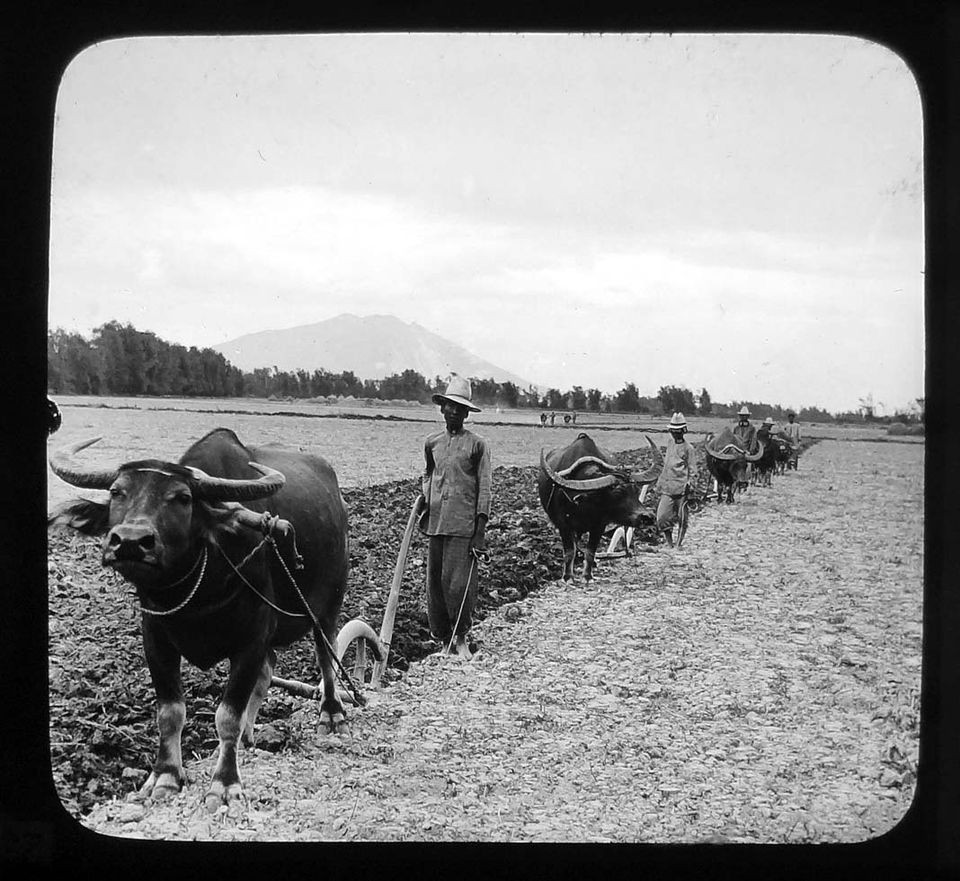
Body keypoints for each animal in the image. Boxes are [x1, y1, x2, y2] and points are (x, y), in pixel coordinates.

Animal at [47, 428, 378, 812]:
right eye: (117, 491)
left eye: (183, 498)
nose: (130, 541)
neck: (197, 586)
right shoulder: (156, 639)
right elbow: (170, 712)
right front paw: (165, 776)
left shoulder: (251, 640)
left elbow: (227, 715)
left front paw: (224, 784)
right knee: (268, 671)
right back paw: (250, 736)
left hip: (328, 606)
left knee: (326, 657)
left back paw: (332, 714)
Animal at [536, 432, 664, 580]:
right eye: (617, 493)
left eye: (636, 490)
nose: (648, 517)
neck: (584, 504)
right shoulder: (563, 525)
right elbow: (569, 552)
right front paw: (568, 577)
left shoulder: (599, 526)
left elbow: (590, 552)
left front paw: (588, 576)